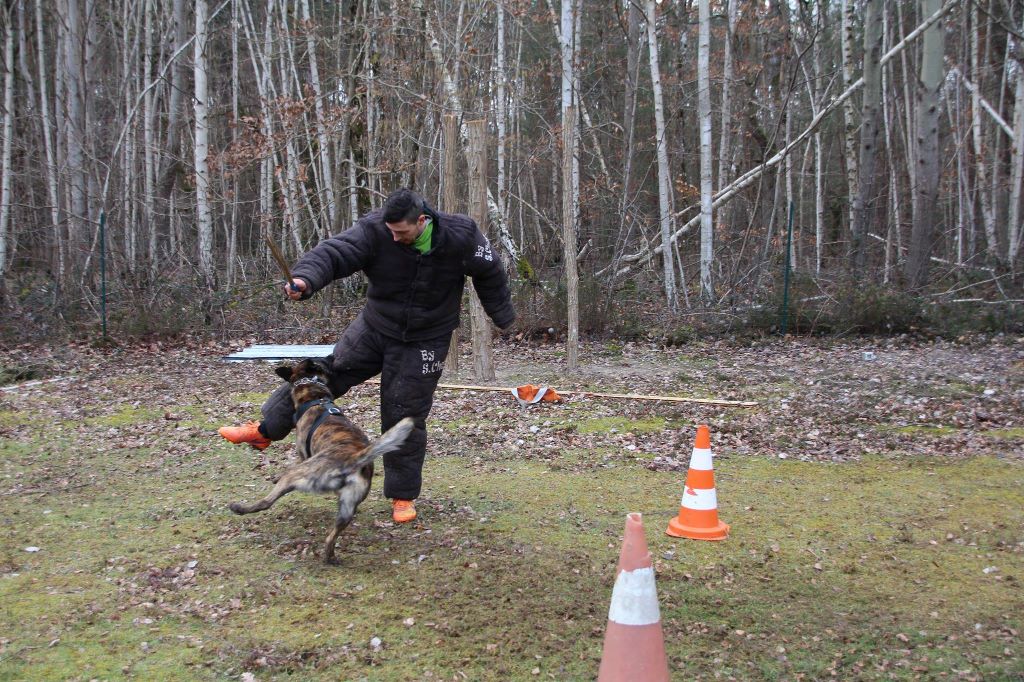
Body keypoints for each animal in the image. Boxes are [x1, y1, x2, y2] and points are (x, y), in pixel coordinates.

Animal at [228, 358, 411, 561]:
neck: (314, 394)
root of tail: (354, 459)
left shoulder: (303, 454)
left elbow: (290, 463)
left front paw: (275, 476)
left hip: (297, 476)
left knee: (266, 502)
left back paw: (239, 508)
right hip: (348, 507)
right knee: (331, 537)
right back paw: (329, 557)